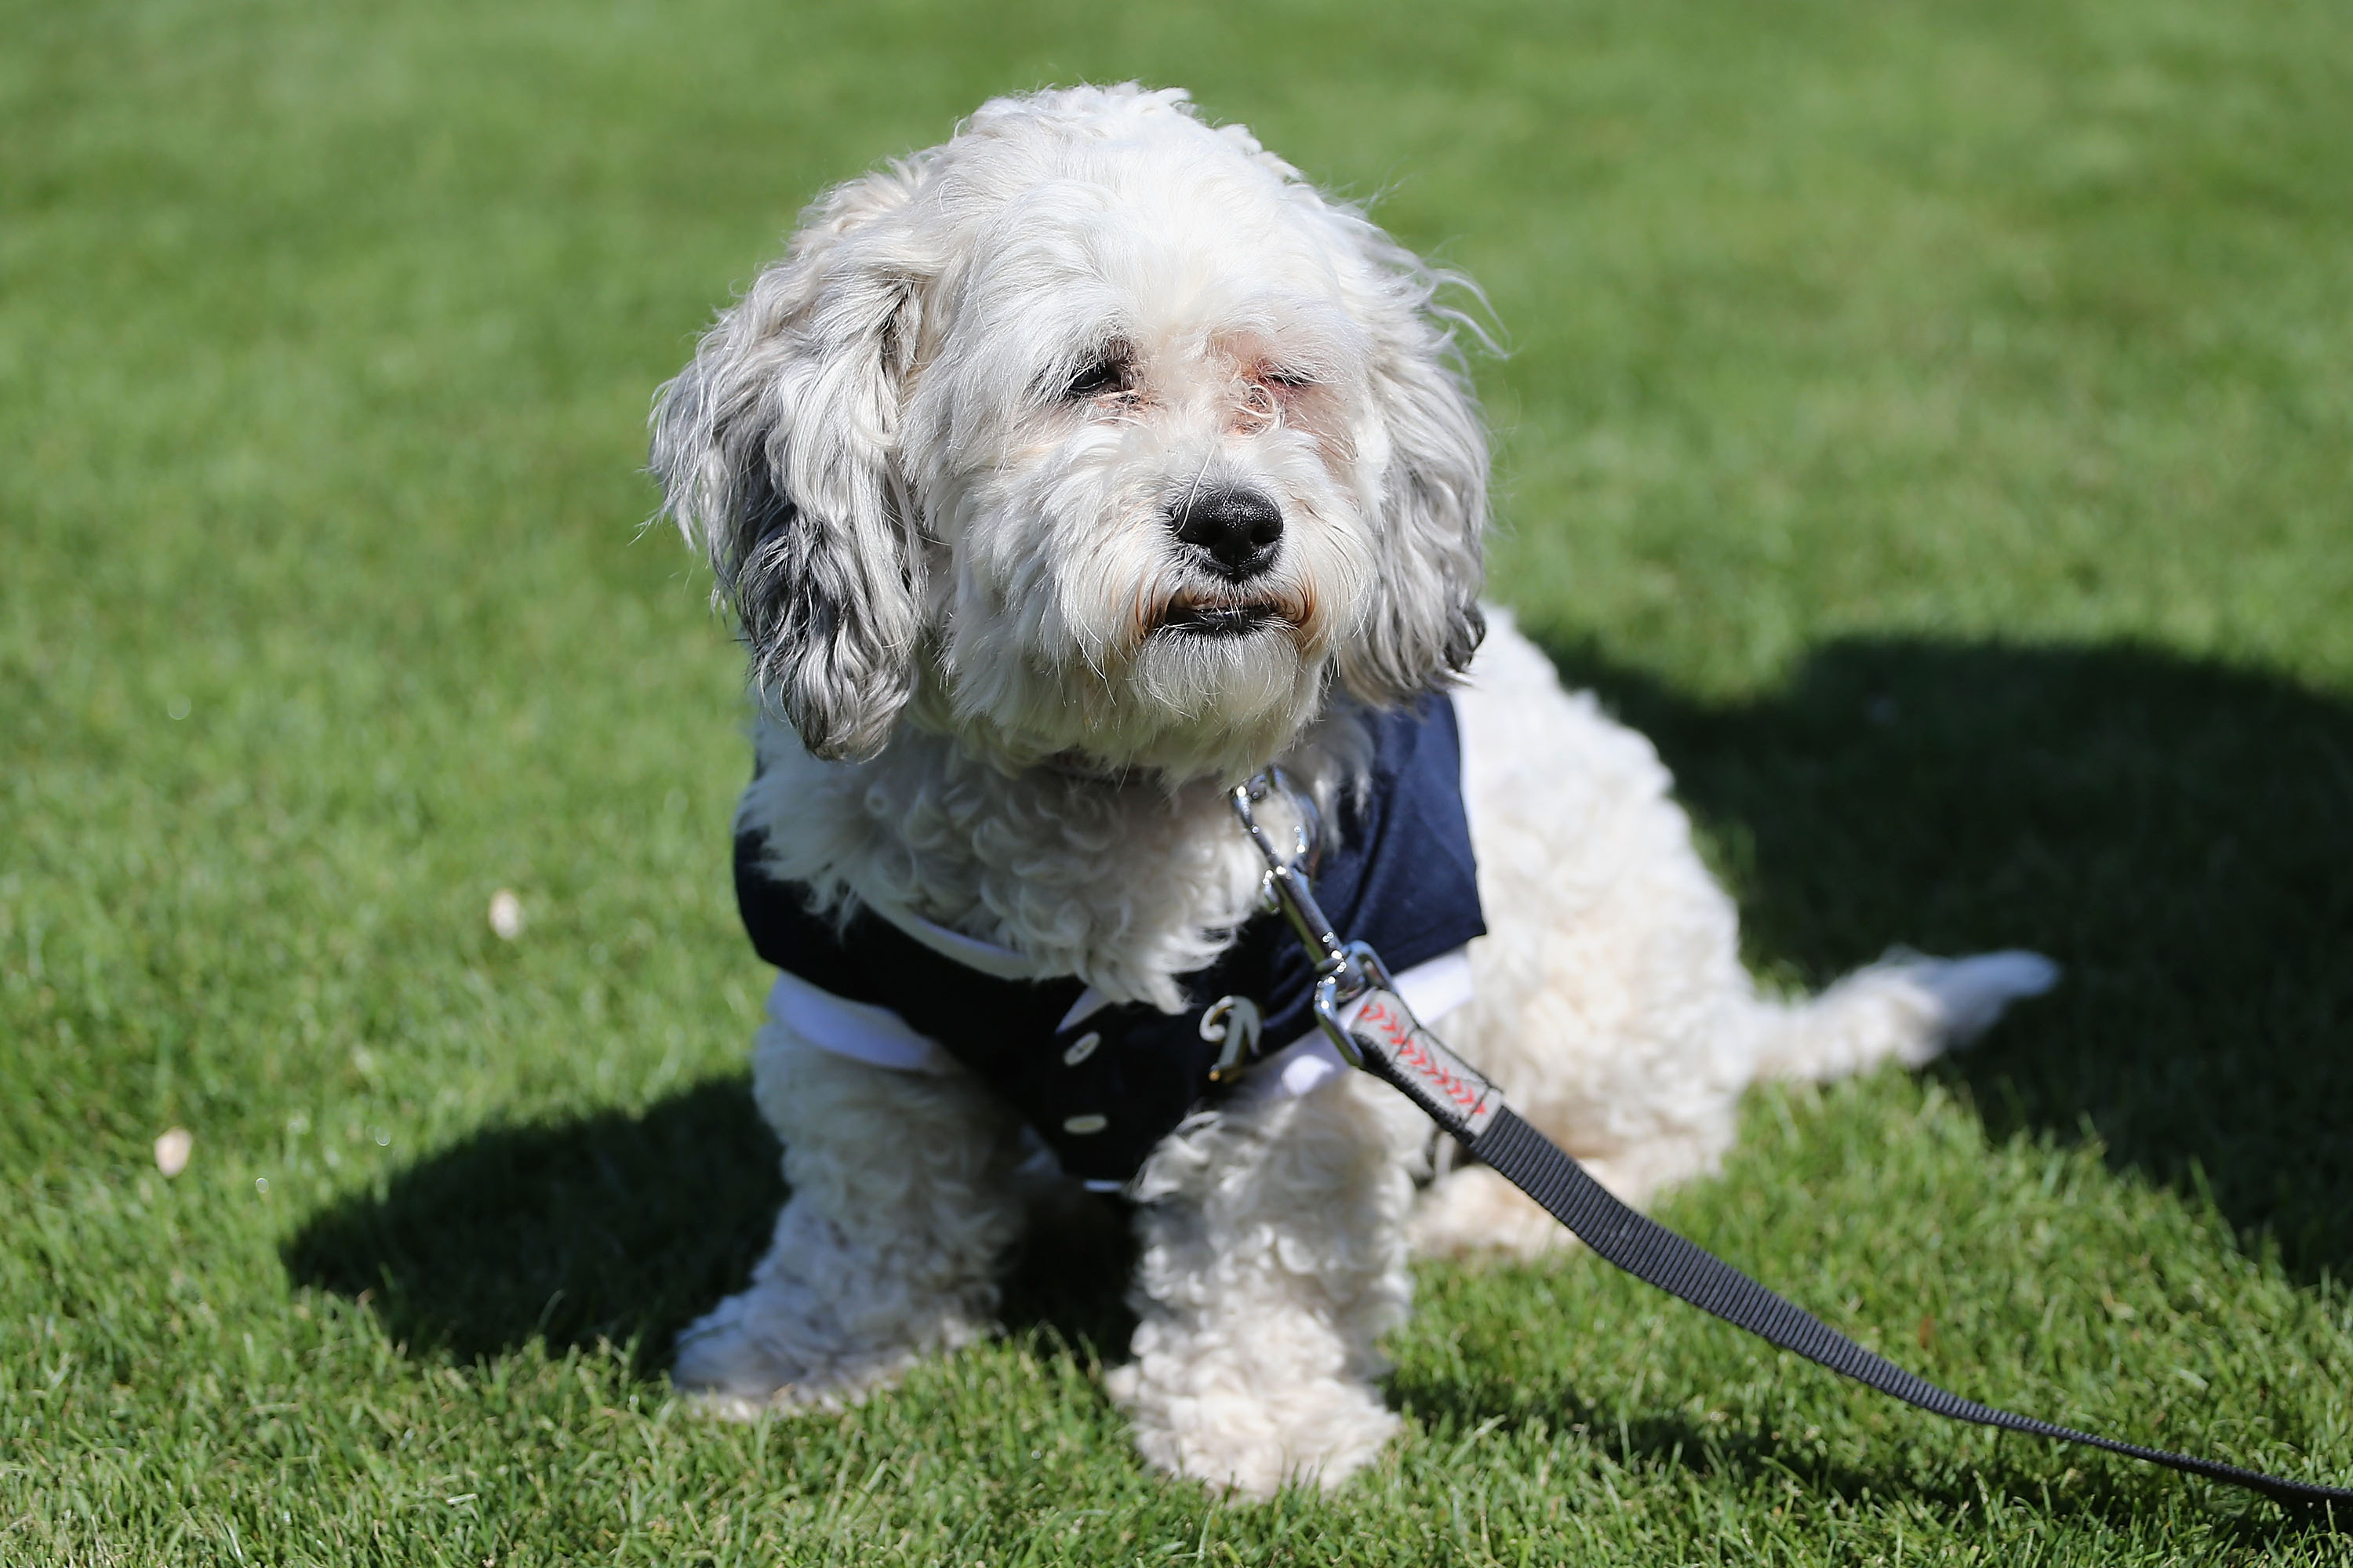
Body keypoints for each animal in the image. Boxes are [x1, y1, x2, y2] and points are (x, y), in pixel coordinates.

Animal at [649, 82, 2061, 1487]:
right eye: (1093, 376)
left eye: (1280, 381)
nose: (1238, 523)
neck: (1104, 776)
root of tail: (1731, 1010)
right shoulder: (856, 998)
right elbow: (867, 1205)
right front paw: (802, 1353)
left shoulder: (1325, 1016)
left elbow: (1271, 1244)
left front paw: (1258, 1427)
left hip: (1592, 999)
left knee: (1667, 1135)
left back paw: (1497, 1210)